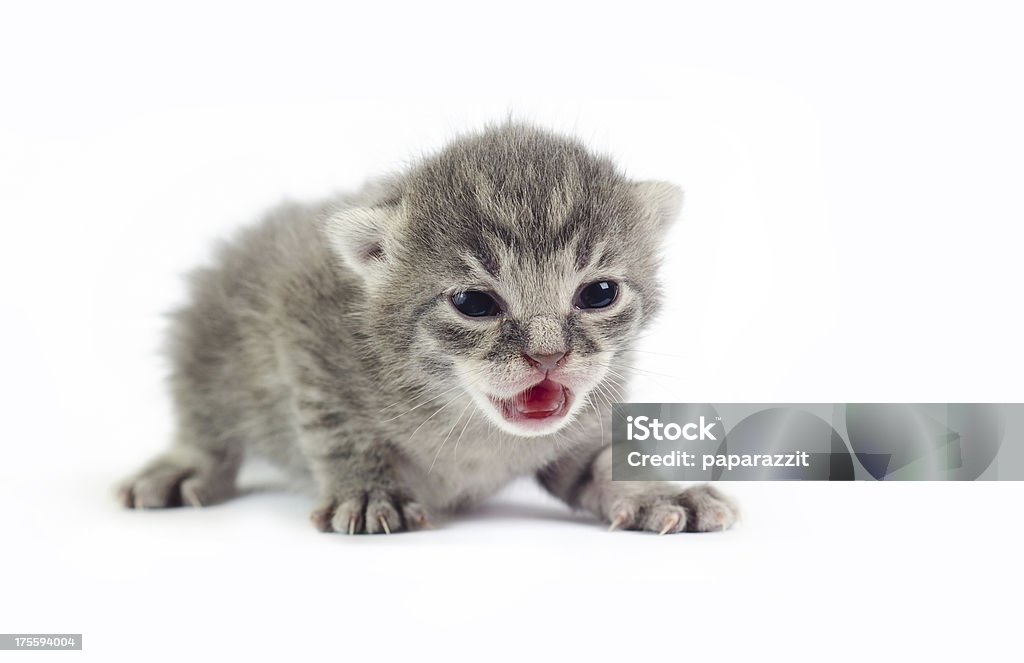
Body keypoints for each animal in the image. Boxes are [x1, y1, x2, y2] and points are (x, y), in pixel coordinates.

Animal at [117, 122, 737, 532]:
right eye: (473, 302)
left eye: (599, 294)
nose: (548, 355)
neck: (471, 423)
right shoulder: (300, 314)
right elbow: (334, 423)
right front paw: (368, 489)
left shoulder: (579, 430)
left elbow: (603, 462)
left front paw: (657, 492)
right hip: (211, 336)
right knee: (207, 418)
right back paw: (182, 465)